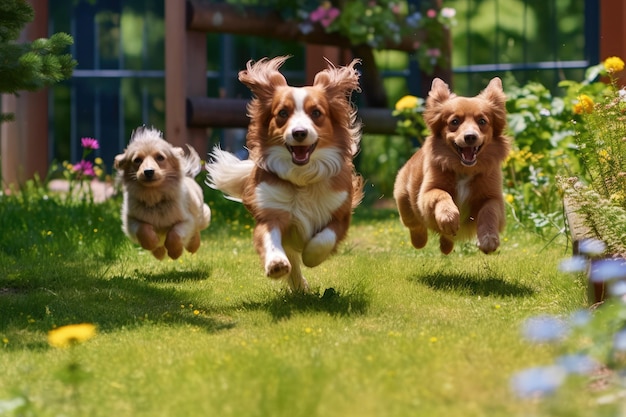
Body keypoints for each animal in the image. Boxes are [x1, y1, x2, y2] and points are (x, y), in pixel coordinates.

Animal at [116, 125, 212, 258]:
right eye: (137, 160)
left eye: (160, 157)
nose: (148, 171)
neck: (154, 198)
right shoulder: (130, 220)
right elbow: (143, 229)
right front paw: (153, 244)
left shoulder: (188, 220)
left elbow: (174, 234)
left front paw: (175, 252)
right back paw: (159, 252)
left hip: (202, 216)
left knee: (196, 231)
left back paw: (193, 245)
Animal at [206, 55, 360, 290]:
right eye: (282, 113)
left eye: (316, 113)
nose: (299, 132)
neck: (302, 176)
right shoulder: (270, 212)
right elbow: (270, 239)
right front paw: (276, 263)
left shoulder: (341, 213)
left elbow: (323, 239)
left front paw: (311, 255)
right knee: (292, 260)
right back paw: (298, 285)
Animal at [392, 77, 510, 254]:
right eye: (454, 121)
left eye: (482, 121)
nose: (470, 137)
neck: (464, 170)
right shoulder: (427, 192)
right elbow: (441, 194)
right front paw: (449, 217)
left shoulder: (493, 197)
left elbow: (489, 211)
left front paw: (489, 239)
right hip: (404, 202)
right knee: (415, 226)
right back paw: (420, 240)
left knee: (446, 238)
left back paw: (446, 246)